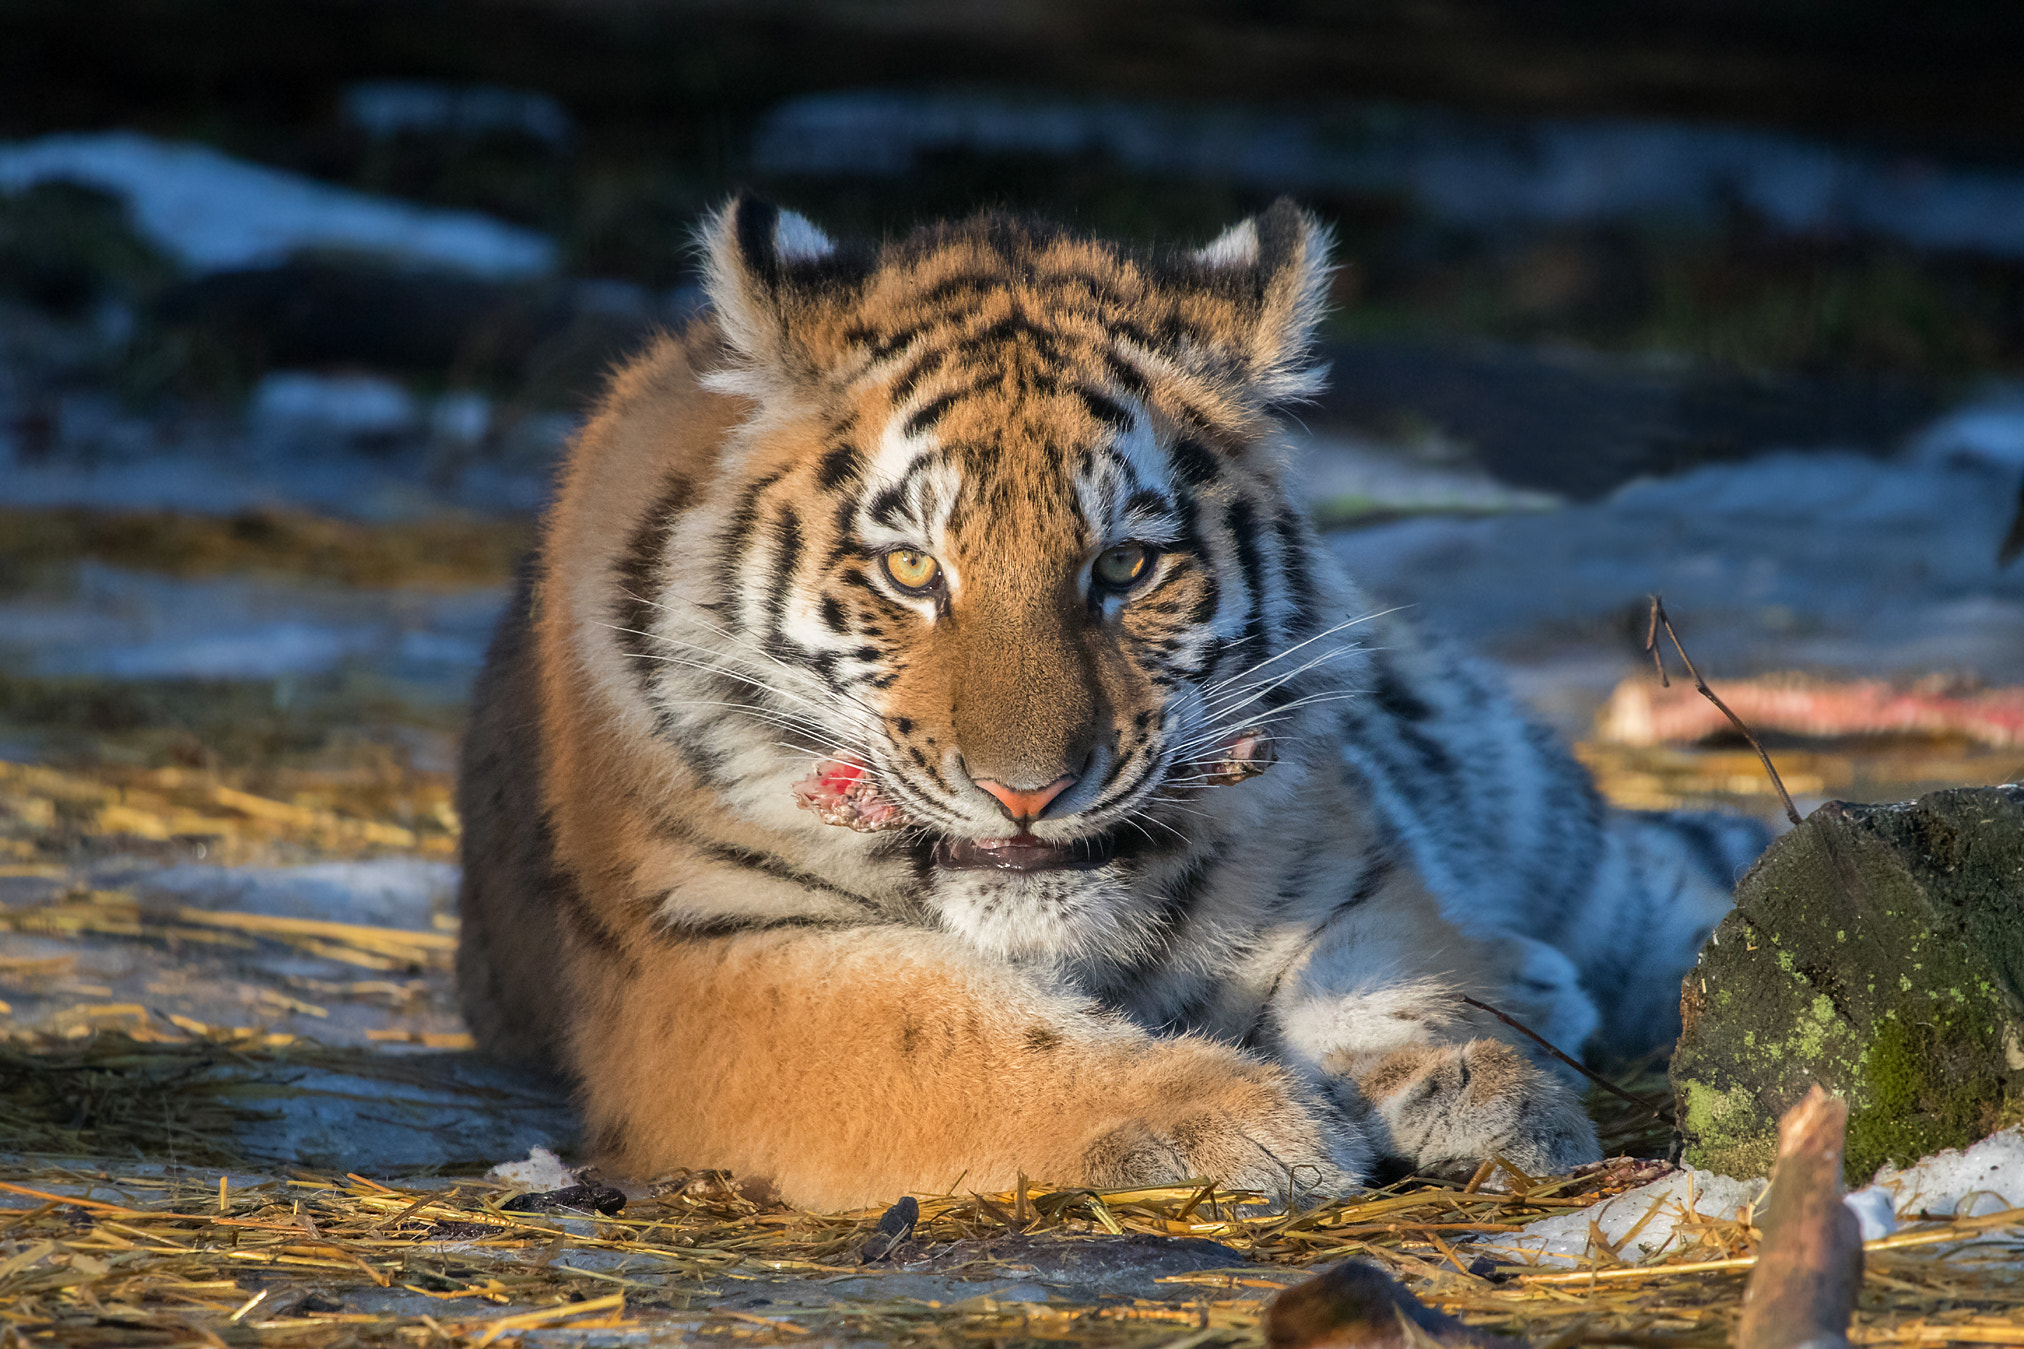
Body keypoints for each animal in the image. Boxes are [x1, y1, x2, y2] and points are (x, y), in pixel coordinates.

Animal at [455, 195, 1767, 1211]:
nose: (1026, 790)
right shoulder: (697, 958)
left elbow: (1397, 964)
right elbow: (940, 1024)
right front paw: (1230, 1116)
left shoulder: (1340, 858)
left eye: (1125, 566)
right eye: (912, 570)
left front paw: (1474, 1077)